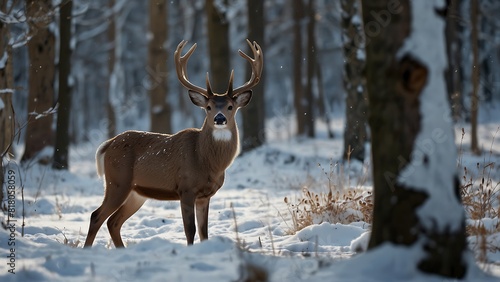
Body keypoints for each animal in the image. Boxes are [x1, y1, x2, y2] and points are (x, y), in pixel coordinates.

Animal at [84, 39, 264, 247]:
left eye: (230, 106)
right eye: (208, 107)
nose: (219, 119)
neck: (206, 162)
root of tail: (109, 143)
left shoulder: (205, 196)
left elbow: (204, 232)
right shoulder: (185, 188)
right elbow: (190, 230)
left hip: (136, 193)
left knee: (113, 222)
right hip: (117, 181)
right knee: (96, 216)